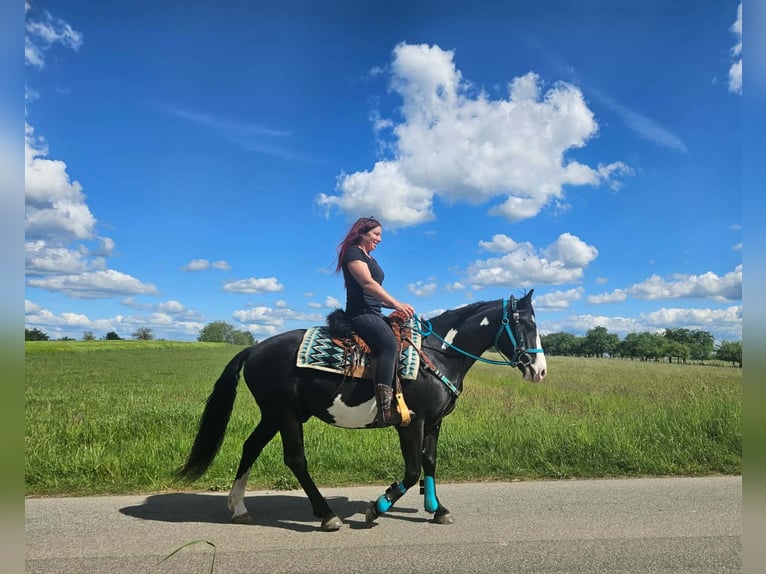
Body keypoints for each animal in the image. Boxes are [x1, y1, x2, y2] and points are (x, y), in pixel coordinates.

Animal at [178, 290, 546, 531]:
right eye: (526, 325)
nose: (540, 370)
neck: (437, 354)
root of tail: (254, 349)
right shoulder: (411, 424)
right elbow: (412, 470)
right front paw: (377, 507)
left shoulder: (434, 423)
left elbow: (429, 462)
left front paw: (437, 509)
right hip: (284, 414)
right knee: (295, 459)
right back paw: (326, 515)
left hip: (273, 414)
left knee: (250, 447)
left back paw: (239, 507)